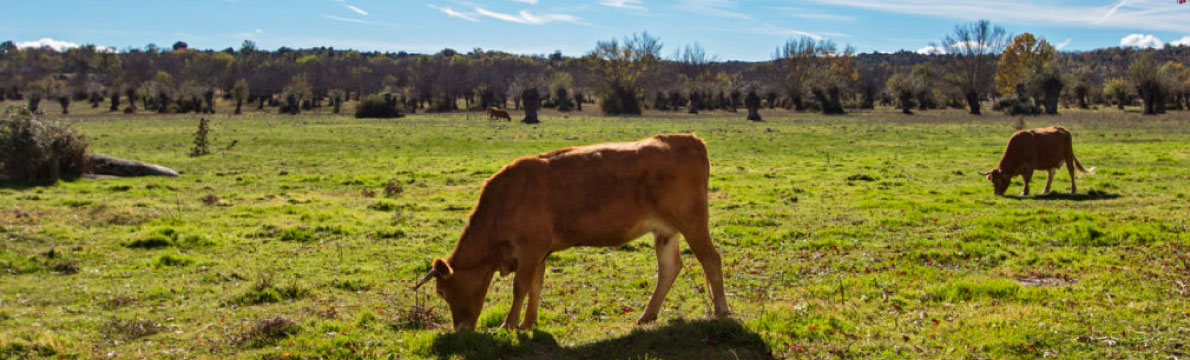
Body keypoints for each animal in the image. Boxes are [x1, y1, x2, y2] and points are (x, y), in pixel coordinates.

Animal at [418, 134, 733, 330]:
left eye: (442, 292)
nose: (460, 329)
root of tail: (688, 139)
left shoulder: (530, 249)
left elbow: (520, 286)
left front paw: (507, 324)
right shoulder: (539, 253)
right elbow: (536, 285)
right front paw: (527, 323)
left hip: (692, 221)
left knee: (711, 259)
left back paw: (722, 311)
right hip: (665, 230)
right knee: (669, 268)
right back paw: (647, 314)